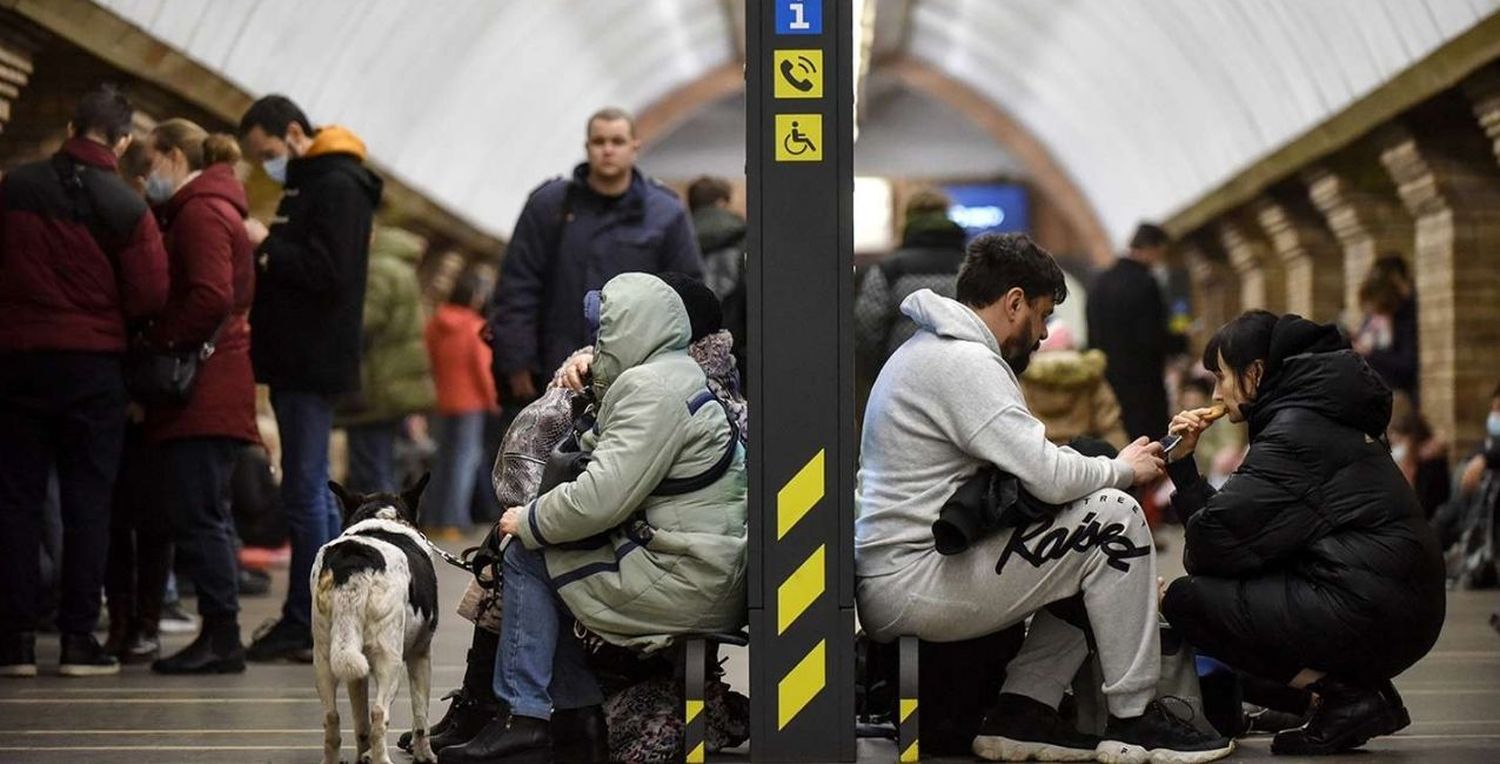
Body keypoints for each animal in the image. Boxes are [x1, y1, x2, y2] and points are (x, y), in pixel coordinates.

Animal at [313, 477, 438, 762]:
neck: (381, 518)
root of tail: (354, 562)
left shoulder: (356, 676)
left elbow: (360, 725)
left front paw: (363, 754)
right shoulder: (421, 655)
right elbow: (421, 718)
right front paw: (425, 755)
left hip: (326, 657)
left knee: (332, 716)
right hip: (390, 661)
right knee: (380, 714)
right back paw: (382, 758)